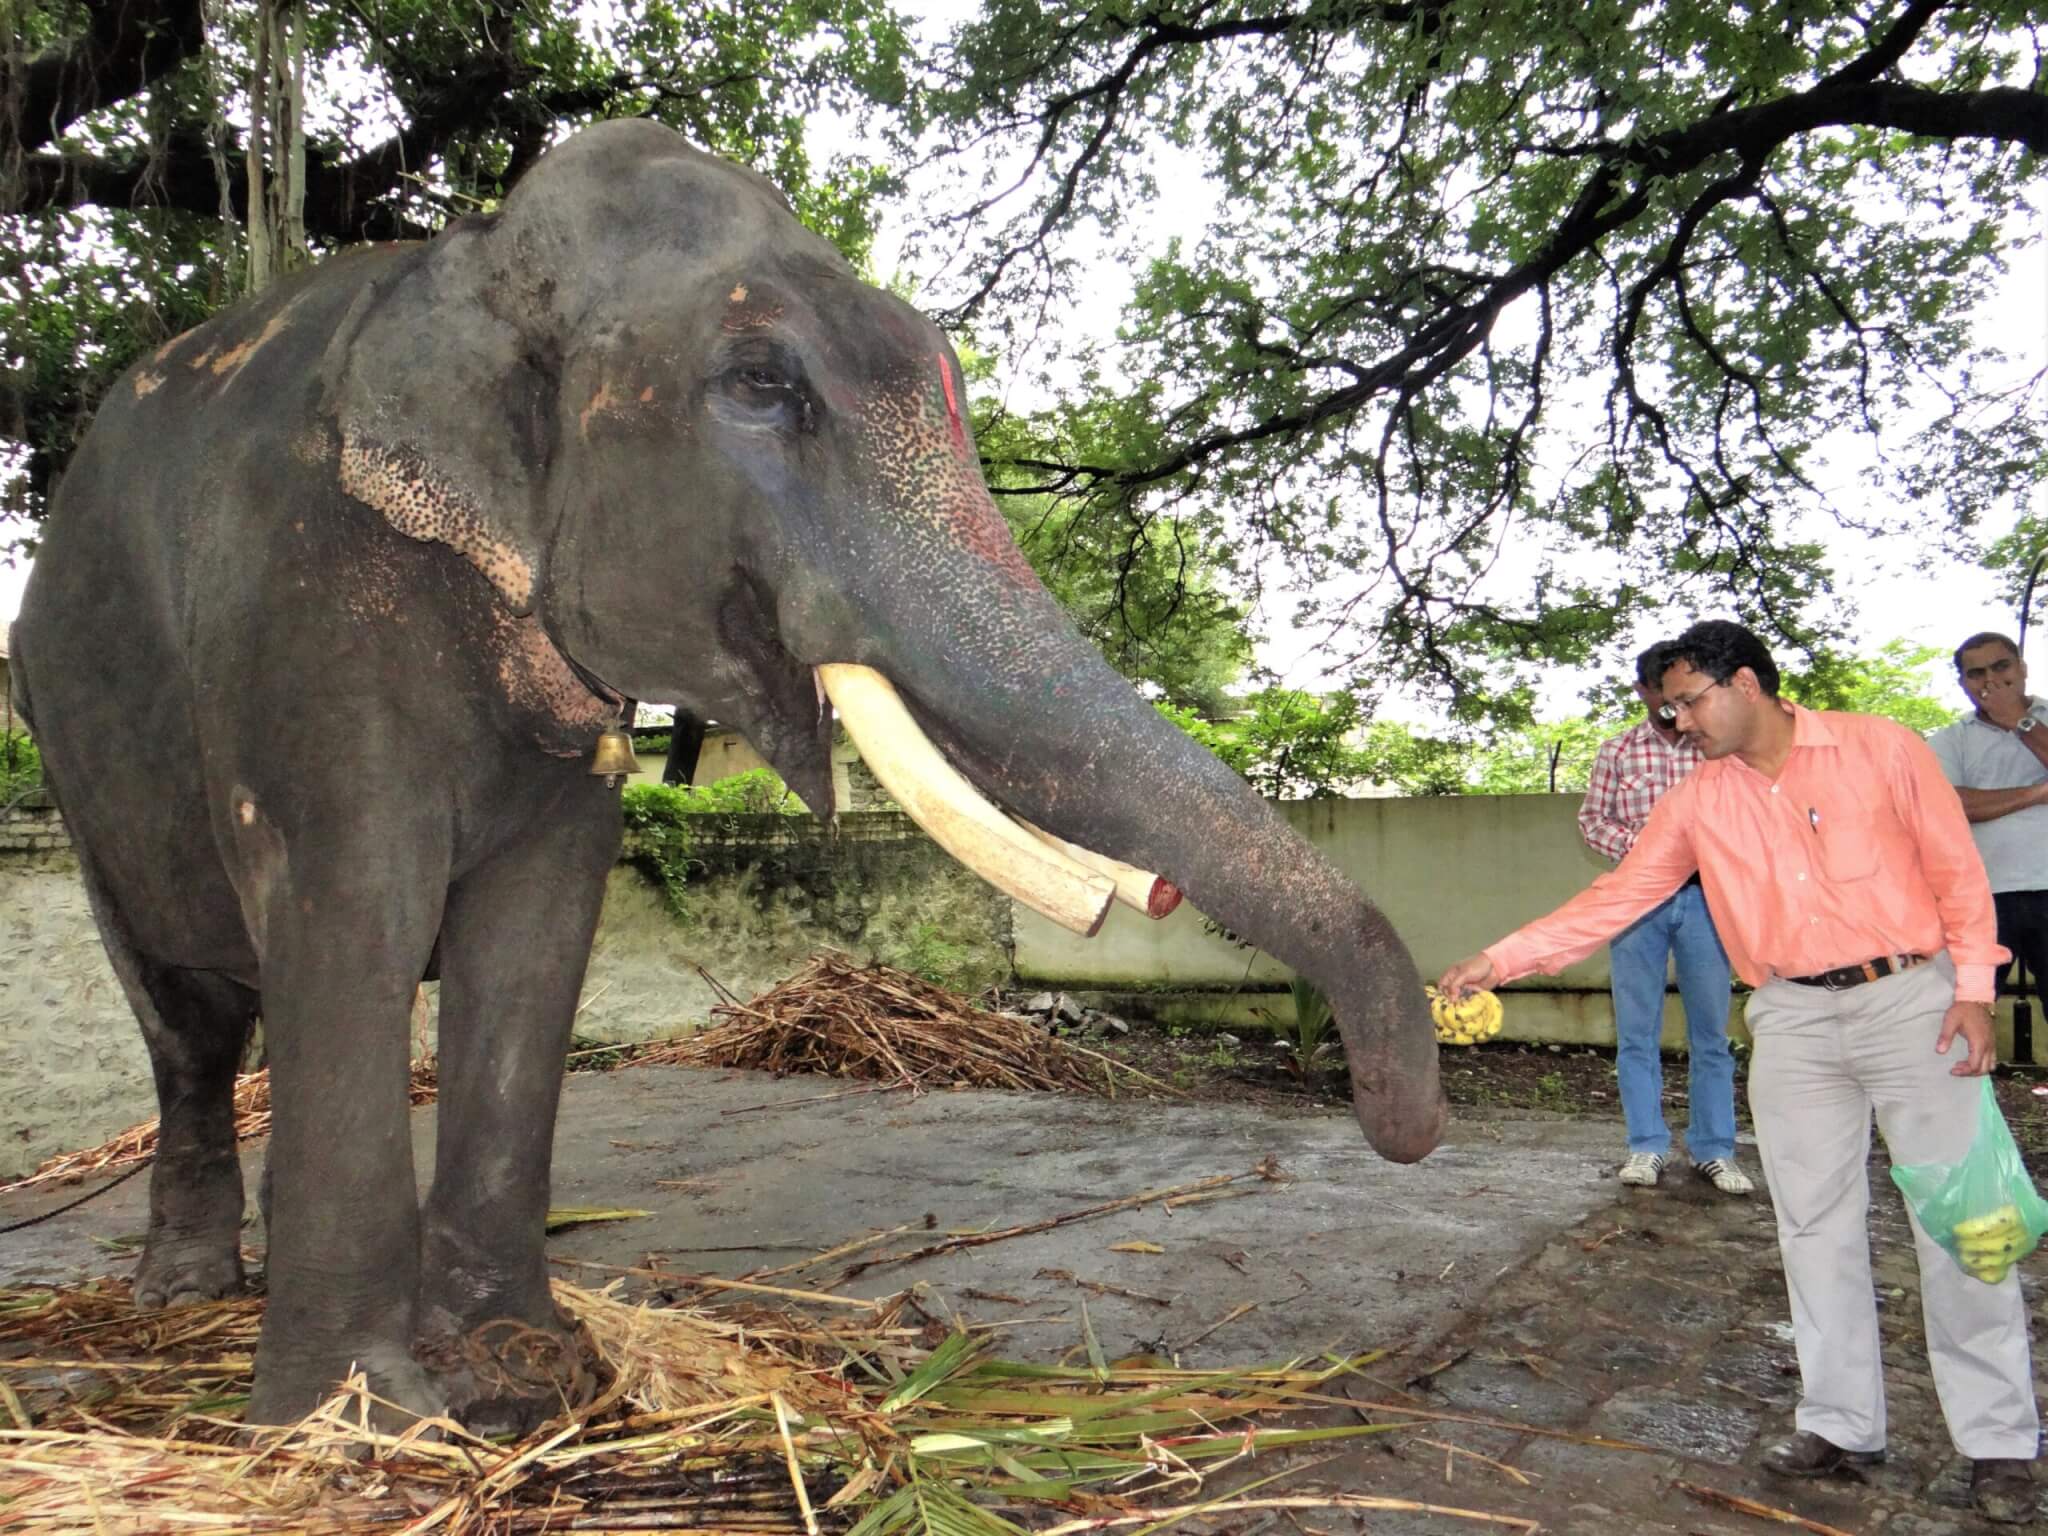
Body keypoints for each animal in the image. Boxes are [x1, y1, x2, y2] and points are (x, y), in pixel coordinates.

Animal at [8, 117, 1449, 1433]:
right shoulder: (302, 602)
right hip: (76, 759)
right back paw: (186, 1295)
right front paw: (370, 1424)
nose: (1402, 1127)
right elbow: (354, 906)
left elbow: (537, 939)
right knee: (188, 1016)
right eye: (758, 383)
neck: (470, 263)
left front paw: (532, 1377)